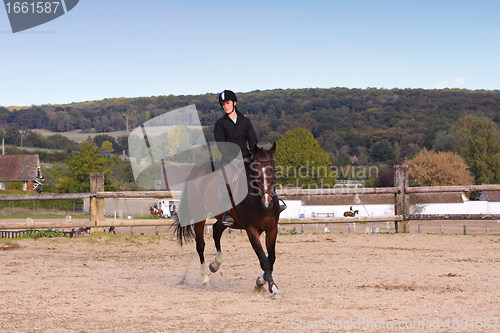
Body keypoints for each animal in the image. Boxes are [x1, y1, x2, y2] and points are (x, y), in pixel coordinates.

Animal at [172, 142, 282, 296]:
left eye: (273, 170)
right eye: (255, 172)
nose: (267, 202)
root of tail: (197, 169)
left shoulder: (272, 228)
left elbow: (271, 258)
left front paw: (261, 281)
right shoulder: (251, 231)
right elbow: (264, 260)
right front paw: (273, 288)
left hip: (225, 220)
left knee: (216, 231)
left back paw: (215, 264)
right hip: (199, 215)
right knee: (200, 245)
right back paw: (206, 280)